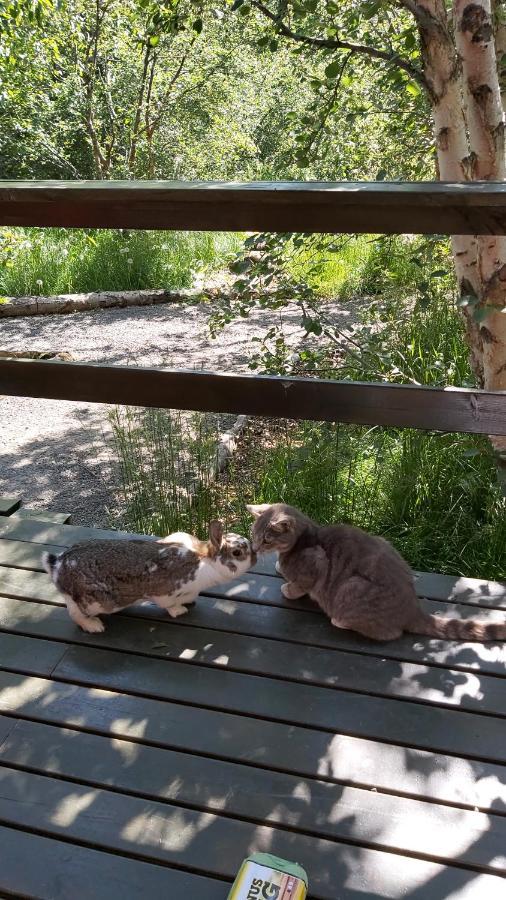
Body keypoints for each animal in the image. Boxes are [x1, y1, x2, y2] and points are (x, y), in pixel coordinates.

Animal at [41, 516, 255, 636]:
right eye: (237, 552)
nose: (255, 557)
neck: (205, 561)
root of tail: (57, 565)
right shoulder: (166, 592)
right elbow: (168, 605)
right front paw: (180, 611)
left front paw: (190, 602)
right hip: (93, 602)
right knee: (76, 615)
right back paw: (94, 626)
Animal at [249, 502, 506, 644]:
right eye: (253, 534)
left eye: (266, 539)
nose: (255, 547)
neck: (305, 539)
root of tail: (412, 608)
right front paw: (280, 567)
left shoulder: (314, 566)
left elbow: (297, 586)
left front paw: (287, 586)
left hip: (351, 587)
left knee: (390, 633)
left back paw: (339, 620)